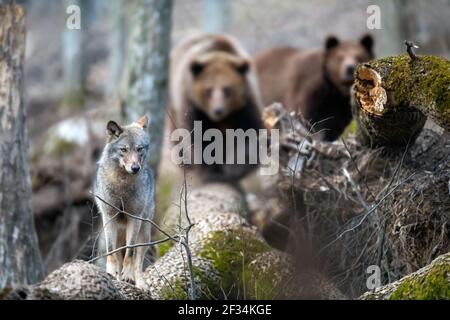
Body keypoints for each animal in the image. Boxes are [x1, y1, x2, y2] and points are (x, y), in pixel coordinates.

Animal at [169, 34, 264, 184]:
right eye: (208, 90)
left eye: (227, 89)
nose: (218, 110)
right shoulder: (193, 107)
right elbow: (199, 139)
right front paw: (212, 172)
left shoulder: (245, 106)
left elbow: (250, 133)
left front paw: (236, 167)